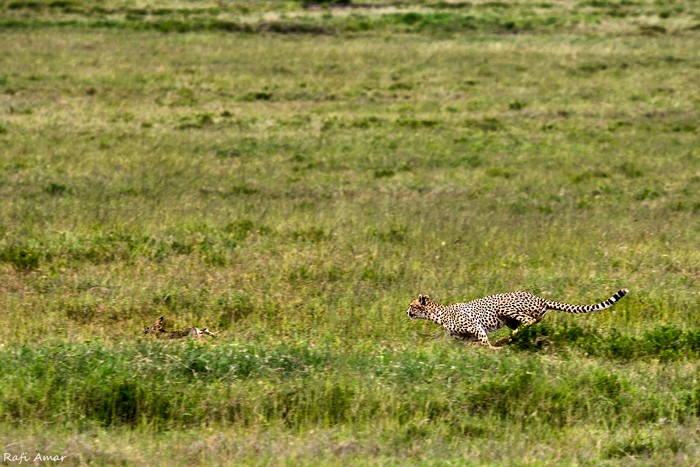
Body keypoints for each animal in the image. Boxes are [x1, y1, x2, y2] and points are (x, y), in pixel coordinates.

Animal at [404, 288, 628, 350]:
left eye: (412, 305)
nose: (407, 312)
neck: (439, 314)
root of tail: (539, 297)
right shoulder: (463, 336)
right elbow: (469, 343)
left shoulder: (475, 326)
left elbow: (484, 341)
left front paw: (493, 350)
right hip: (509, 318)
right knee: (529, 322)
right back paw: (509, 338)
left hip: (504, 307)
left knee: (528, 320)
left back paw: (507, 340)